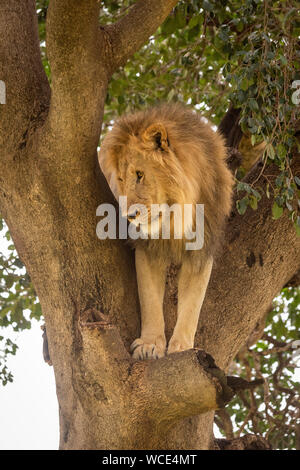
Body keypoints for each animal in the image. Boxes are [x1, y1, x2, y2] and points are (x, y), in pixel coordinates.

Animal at [97, 103, 233, 360]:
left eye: (140, 174)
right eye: (120, 179)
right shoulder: (148, 248)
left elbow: (192, 304)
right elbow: (149, 299)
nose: (129, 216)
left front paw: (182, 348)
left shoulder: (202, 247)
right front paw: (150, 345)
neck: (174, 217)